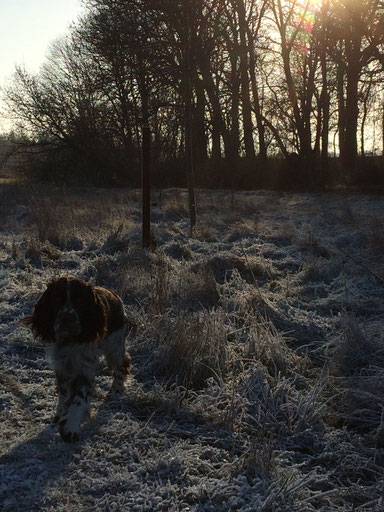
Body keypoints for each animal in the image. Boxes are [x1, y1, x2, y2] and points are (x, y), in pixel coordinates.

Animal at [21, 278, 132, 442]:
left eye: (79, 300)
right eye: (56, 298)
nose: (67, 318)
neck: (69, 340)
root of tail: (114, 294)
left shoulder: (85, 368)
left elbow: (80, 397)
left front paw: (71, 427)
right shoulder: (61, 366)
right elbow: (64, 395)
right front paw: (58, 418)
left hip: (114, 347)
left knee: (123, 362)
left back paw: (116, 390)